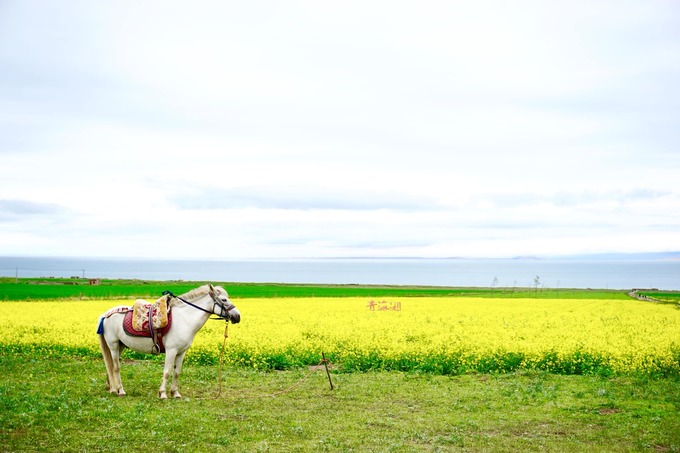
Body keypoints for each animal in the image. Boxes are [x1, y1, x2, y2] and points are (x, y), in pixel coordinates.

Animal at [97, 284, 240, 398]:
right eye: (224, 299)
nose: (237, 316)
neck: (184, 319)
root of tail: (106, 315)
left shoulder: (181, 352)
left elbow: (176, 373)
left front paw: (175, 393)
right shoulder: (171, 351)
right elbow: (166, 372)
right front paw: (163, 394)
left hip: (120, 346)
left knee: (110, 365)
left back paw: (112, 388)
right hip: (114, 346)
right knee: (116, 367)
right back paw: (120, 390)